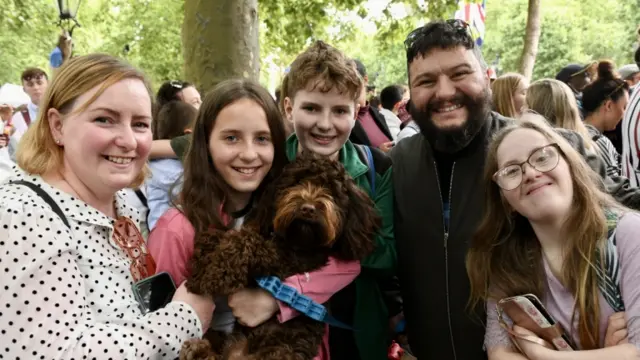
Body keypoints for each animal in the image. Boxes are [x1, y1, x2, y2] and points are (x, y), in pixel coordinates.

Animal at [179, 150, 380, 358]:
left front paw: (212, 275)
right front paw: (202, 259)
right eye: (296, 182)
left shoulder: (284, 262)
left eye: (331, 189)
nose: (308, 208)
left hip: (279, 351)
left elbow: (246, 241)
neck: (296, 241)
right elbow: (219, 236)